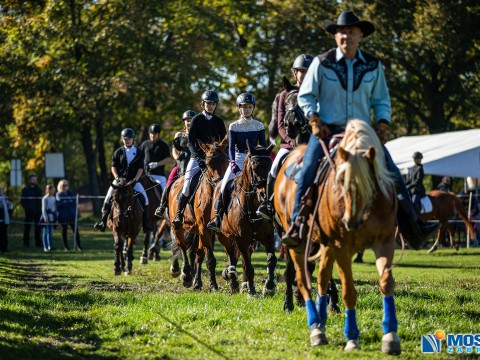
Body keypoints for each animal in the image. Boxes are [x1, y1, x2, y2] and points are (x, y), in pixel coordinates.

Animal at [168, 138, 230, 290]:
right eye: (208, 163)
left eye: (225, 160)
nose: (220, 182)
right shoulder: (204, 229)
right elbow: (210, 258)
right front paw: (213, 285)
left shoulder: (210, 230)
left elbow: (201, 255)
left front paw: (202, 283)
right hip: (177, 227)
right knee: (182, 246)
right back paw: (186, 275)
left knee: (196, 253)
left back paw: (195, 281)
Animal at [215, 143, 278, 296]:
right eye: (254, 167)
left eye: (270, 166)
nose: (264, 194)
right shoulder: (241, 238)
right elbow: (248, 266)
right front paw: (252, 292)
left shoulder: (267, 236)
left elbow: (271, 260)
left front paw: (269, 287)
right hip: (224, 237)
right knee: (232, 256)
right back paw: (233, 280)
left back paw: (242, 284)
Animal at [272, 120, 400, 354]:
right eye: (341, 181)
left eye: (371, 182)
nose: (351, 222)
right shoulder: (341, 246)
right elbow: (348, 290)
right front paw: (352, 338)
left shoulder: (384, 242)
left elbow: (386, 282)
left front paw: (390, 336)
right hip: (297, 242)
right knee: (302, 279)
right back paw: (314, 326)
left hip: (325, 243)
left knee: (322, 277)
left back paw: (322, 316)